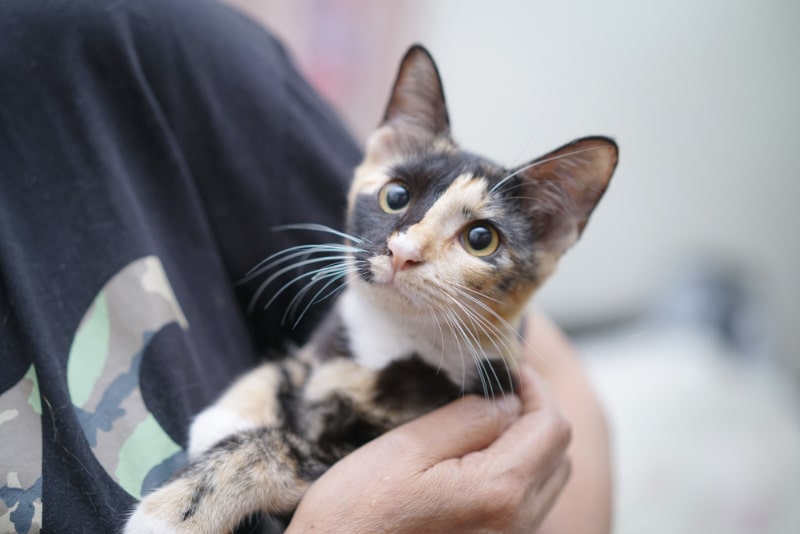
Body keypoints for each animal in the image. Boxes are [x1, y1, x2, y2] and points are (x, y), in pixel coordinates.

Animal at [123, 44, 620, 532]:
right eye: (395, 196)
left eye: (481, 238)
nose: (403, 251)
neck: (391, 335)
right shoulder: (323, 346)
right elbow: (281, 368)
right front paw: (223, 418)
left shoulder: (353, 448)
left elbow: (273, 451)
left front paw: (168, 515)